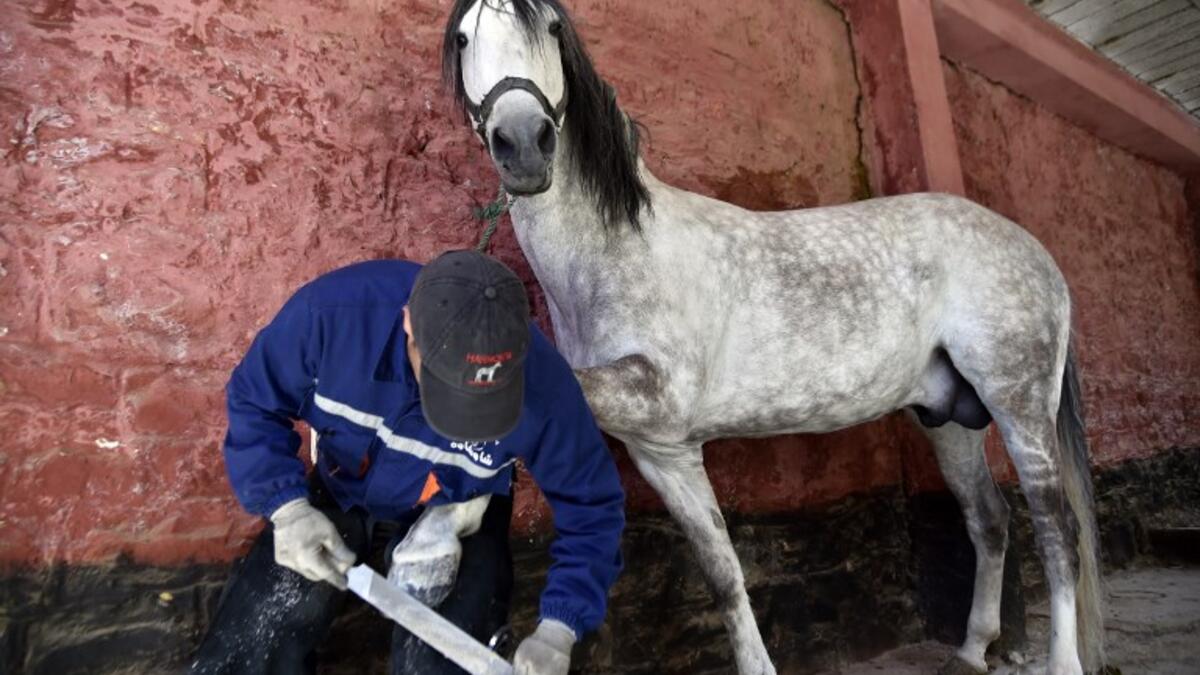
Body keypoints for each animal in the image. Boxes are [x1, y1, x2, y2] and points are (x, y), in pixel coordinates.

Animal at [440, 2, 1105, 673]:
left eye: (552, 30)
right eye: (465, 37)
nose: (524, 144)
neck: (614, 254)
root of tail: (1037, 253)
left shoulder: (659, 398)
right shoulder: (663, 453)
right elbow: (723, 575)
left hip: (1019, 404)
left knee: (1056, 531)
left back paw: (1060, 658)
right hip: (945, 419)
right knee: (988, 519)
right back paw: (971, 648)